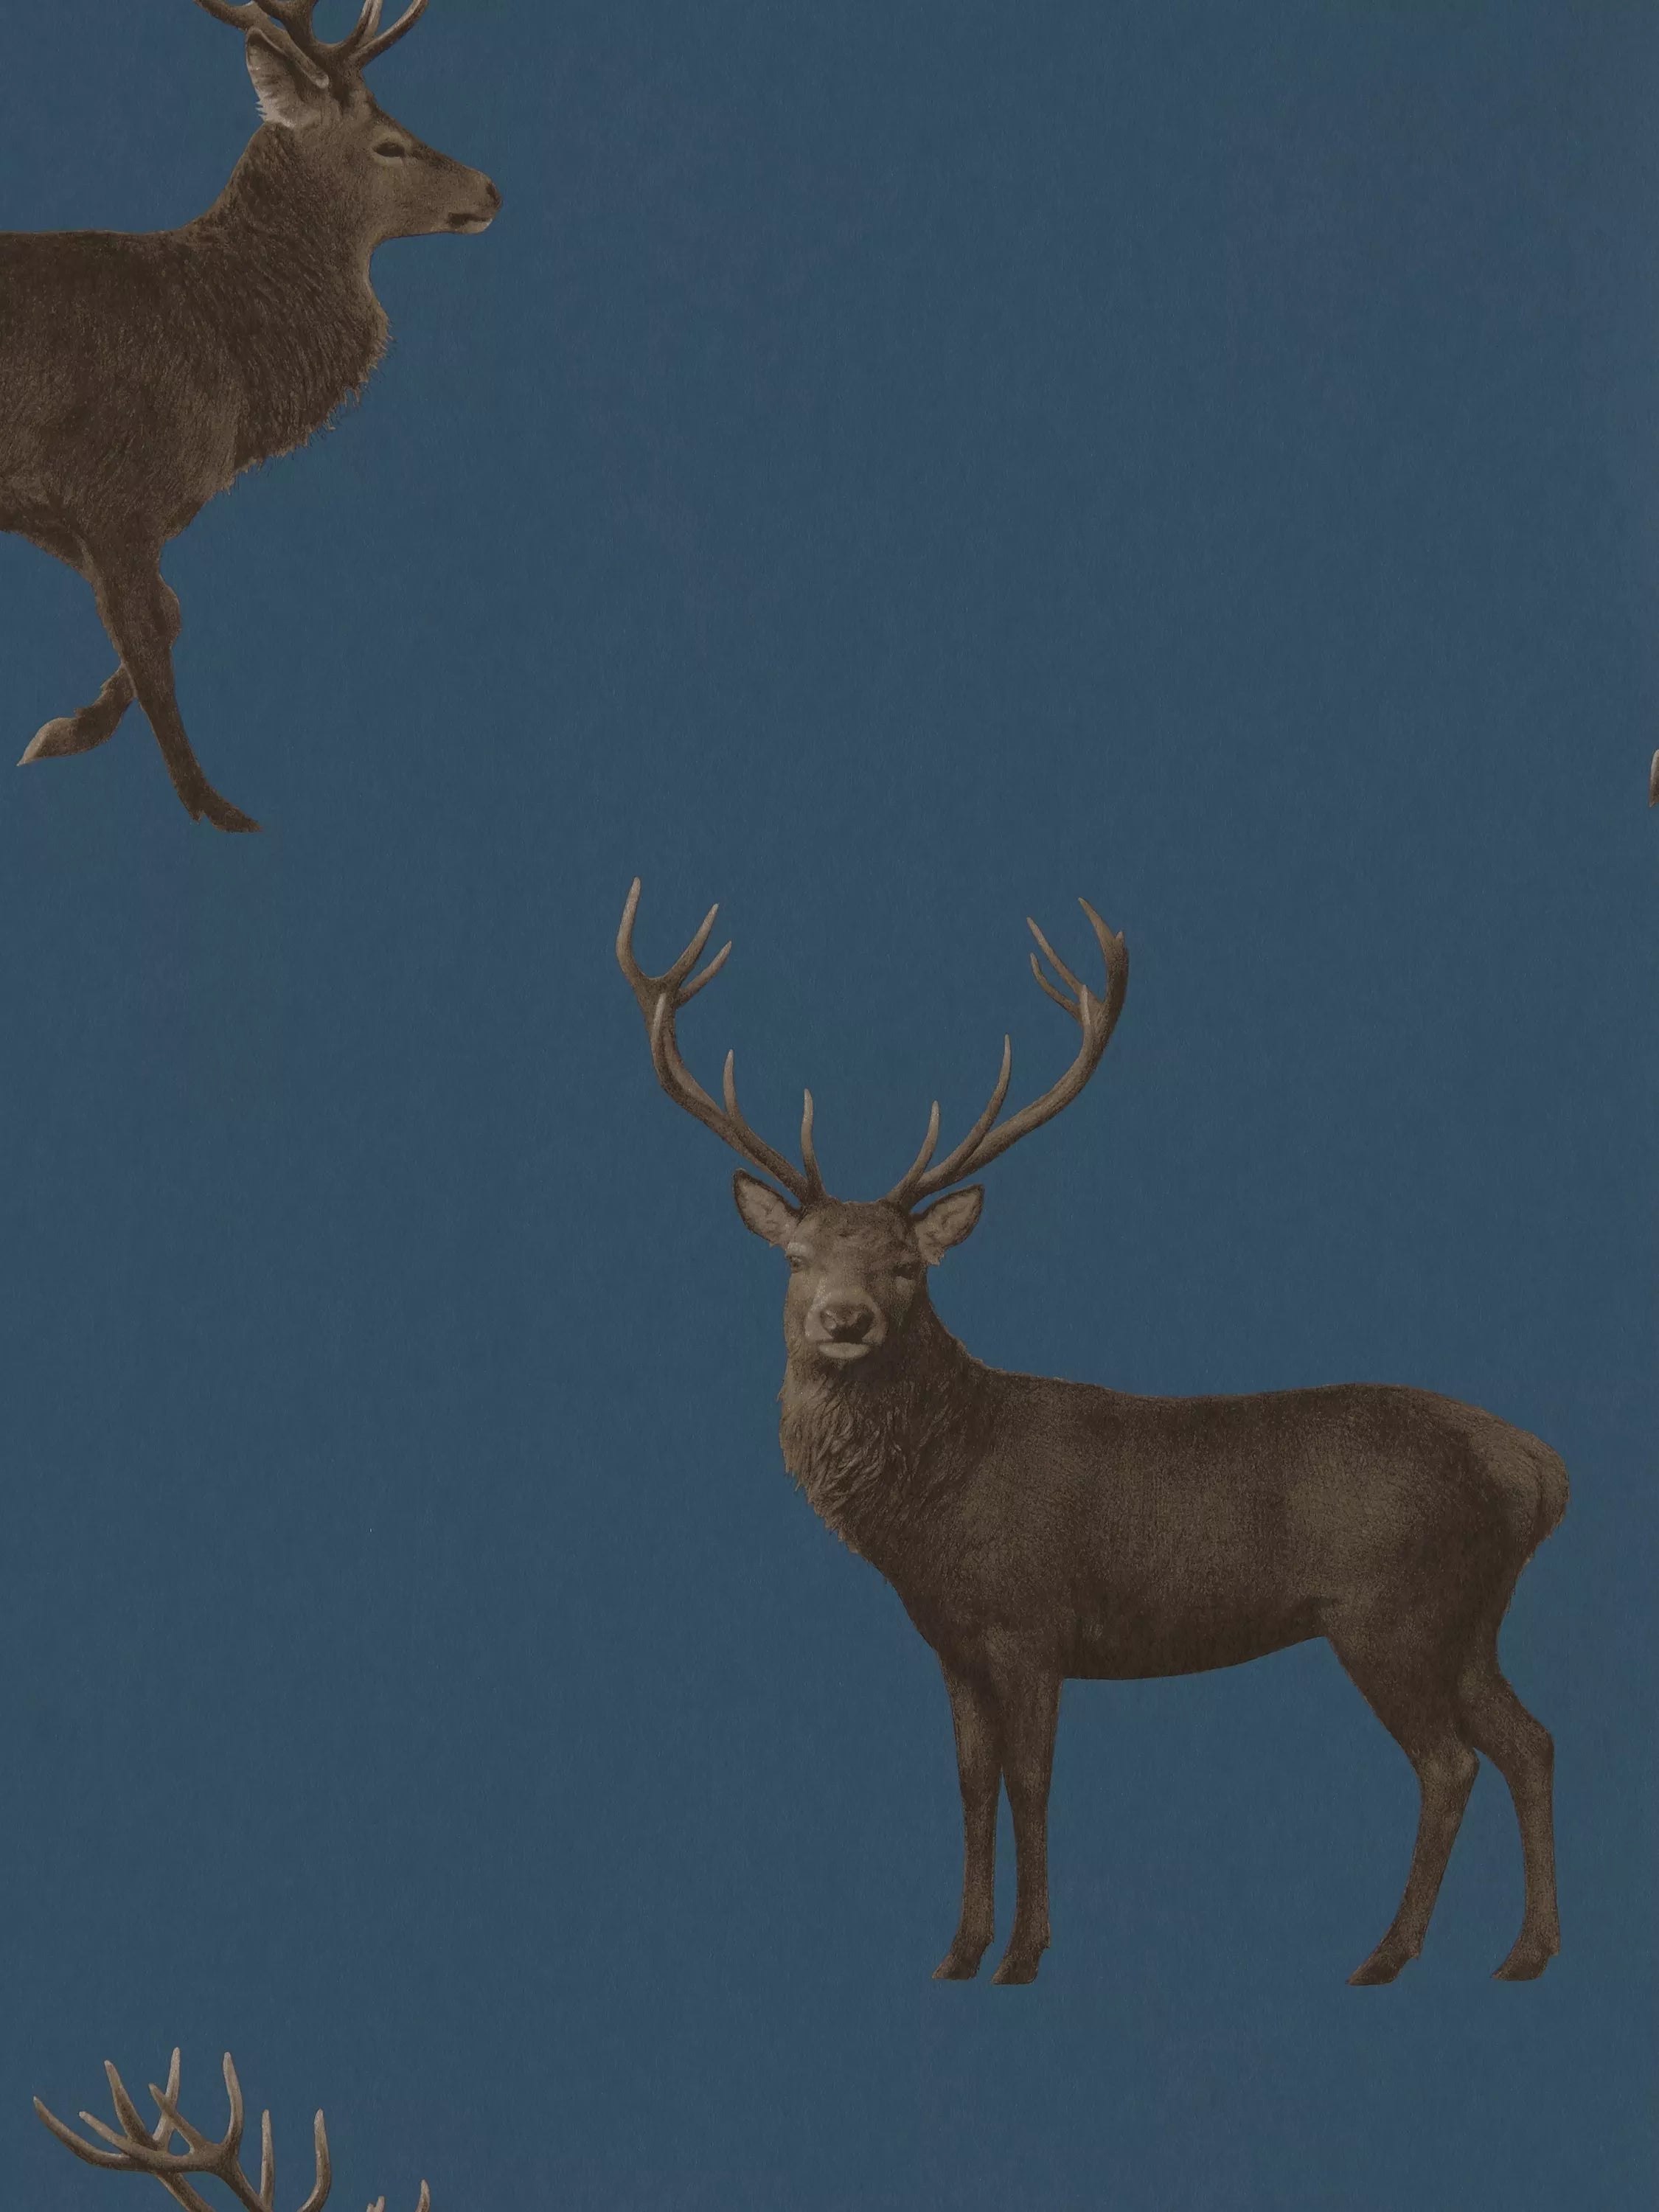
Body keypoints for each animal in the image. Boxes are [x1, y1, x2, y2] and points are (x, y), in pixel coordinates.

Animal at [0, 0, 501, 832]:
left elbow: (171, 613)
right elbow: (151, 639)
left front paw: (68, 729)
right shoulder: (114, 494)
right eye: (388, 144)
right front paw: (213, 806)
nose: (492, 189)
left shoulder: (60, 506)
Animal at [616, 880, 1569, 1990]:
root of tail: (1540, 1470)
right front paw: (957, 1951)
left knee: (1450, 1762)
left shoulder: (1034, 1621)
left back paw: (1385, 1955)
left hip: (1393, 1608)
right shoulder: (953, 1642)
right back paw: (1525, 1952)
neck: (931, 1516)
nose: (842, 1319)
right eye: (797, 1257)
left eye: (906, 1264)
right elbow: (971, 1783)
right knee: (1530, 1741)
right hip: (1473, 1617)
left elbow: (1031, 1781)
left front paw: (1025, 1955)